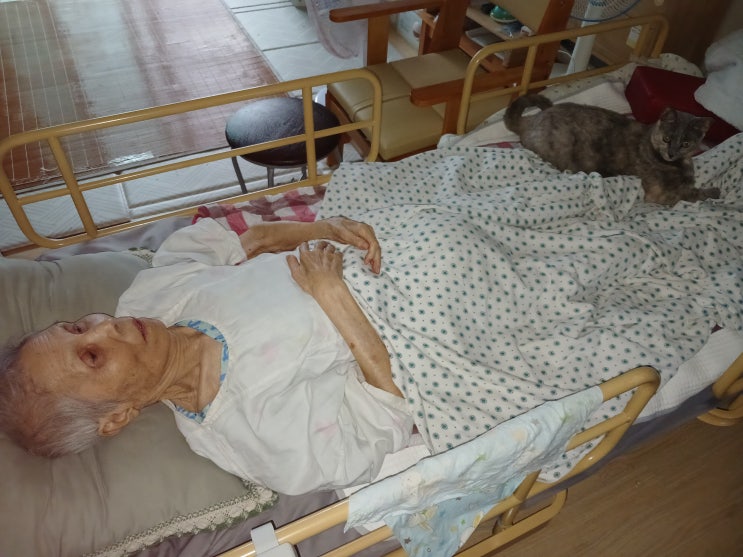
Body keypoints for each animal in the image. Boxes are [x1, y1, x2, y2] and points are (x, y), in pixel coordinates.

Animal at [503, 94, 719, 206]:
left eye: (686, 143)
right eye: (667, 139)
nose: (672, 152)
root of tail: (529, 121)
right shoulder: (659, 195)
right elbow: (689, 194)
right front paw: (714, 193)